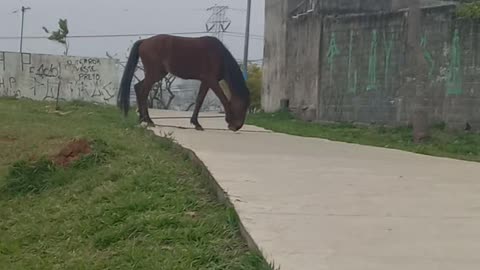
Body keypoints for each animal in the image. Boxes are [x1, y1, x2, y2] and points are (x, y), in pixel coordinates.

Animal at [118, 34, 251, 131]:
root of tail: (144, 41)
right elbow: (223, 98)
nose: (237, 126)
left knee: (138, 87)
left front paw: (196, 123)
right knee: (143, 92)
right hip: (154, 73)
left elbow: (199, 100)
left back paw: (142, 118)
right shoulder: (211, 80)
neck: (219, 55)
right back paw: (149, 120)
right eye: (243, 105)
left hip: (157, 73)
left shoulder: (206, 81)